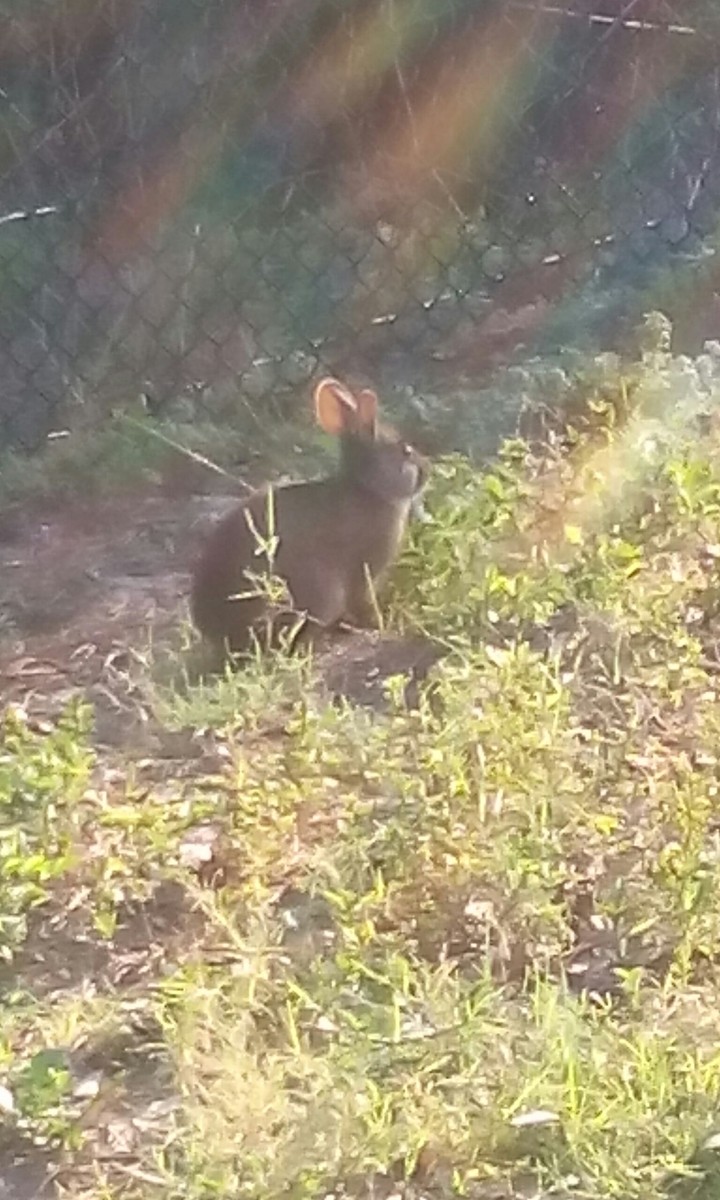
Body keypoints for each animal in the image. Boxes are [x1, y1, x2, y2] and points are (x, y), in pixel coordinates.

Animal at [190, 376, 430, 656]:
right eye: (406, 451)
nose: (428, 470)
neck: (368, 488)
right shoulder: (362, 573)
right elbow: (362, 601)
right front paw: (377, 623)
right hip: (318, 590)